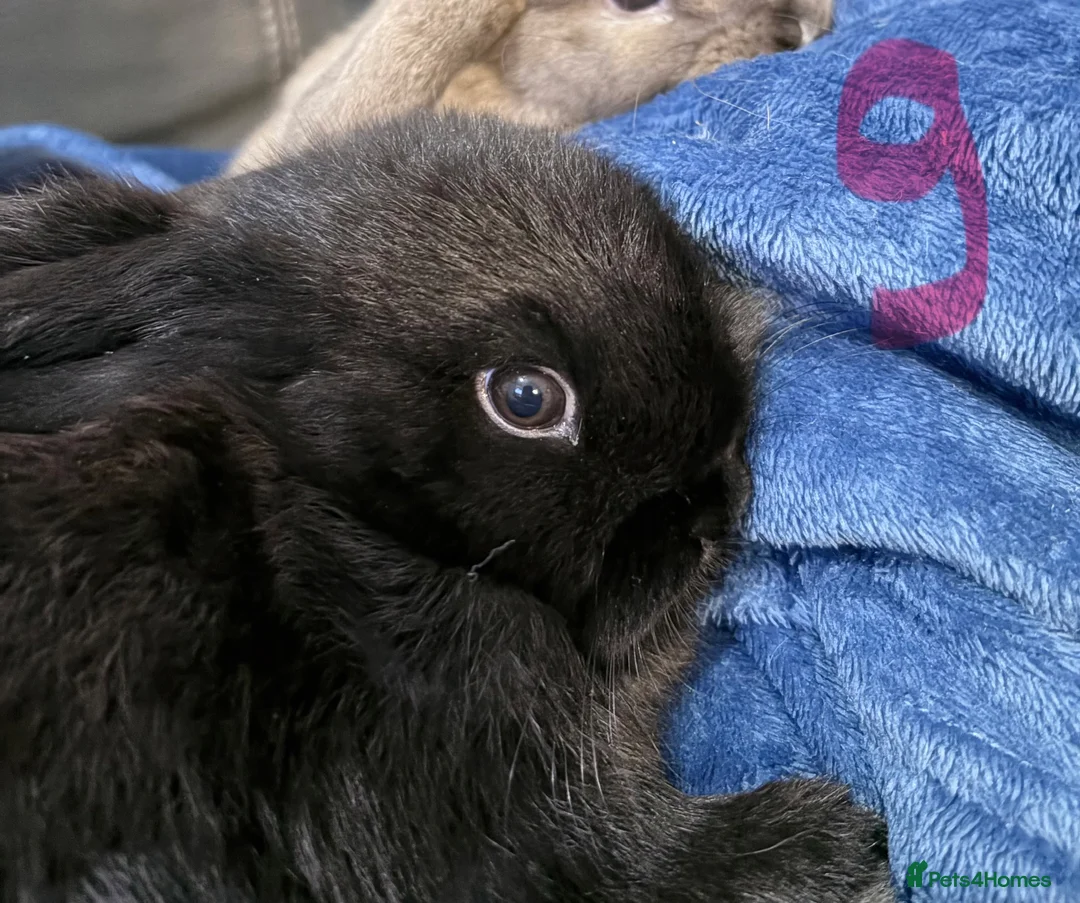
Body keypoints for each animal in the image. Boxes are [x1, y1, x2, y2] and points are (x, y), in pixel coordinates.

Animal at [0, 111, 893, 902]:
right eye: (527, 398)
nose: (715, 504)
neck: (344, 522)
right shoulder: (486, 805)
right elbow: (636, 863)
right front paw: (831, 840)